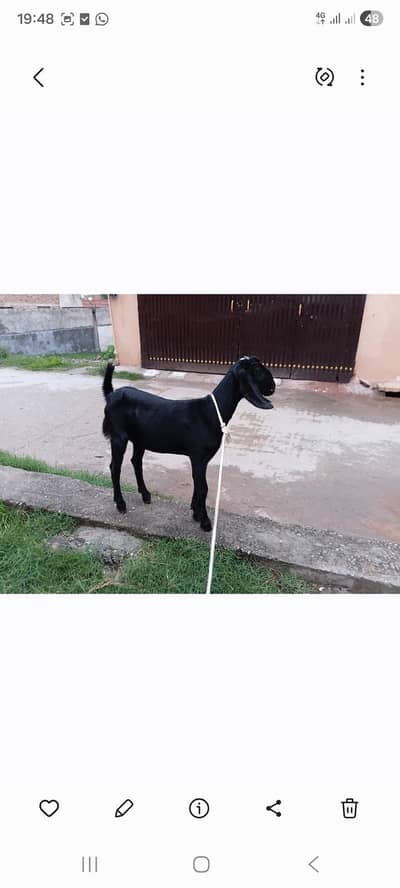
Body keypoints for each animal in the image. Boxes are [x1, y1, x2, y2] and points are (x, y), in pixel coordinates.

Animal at [102, 357, 275, 531]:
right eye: (257, 369)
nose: (273, 386)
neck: (211, 412)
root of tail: (111, 395)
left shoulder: (201, 459)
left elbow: (197, 484)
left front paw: (195, 512)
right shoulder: (198, 456)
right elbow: (203, 488)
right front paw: (205, 521)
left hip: (140, 438)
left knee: (136, 461)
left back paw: (145, 495)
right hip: (118, 436)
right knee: (115, 467)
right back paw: (121, 504)